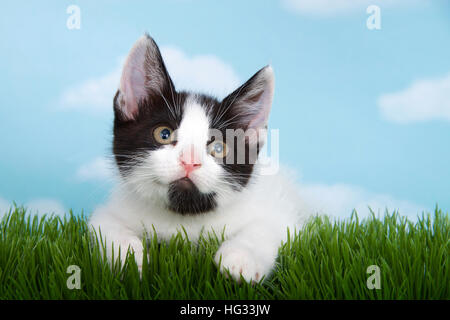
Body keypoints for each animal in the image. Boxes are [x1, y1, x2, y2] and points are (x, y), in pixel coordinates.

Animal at [89, 35, 312, 282]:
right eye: (164, 134)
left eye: (219, 147)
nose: (190, 161)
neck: (183, 217)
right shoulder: (109, 211)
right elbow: (106, 226)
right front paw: (130, 258)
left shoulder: (282, 213)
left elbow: (266, 227)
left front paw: (241, 258)